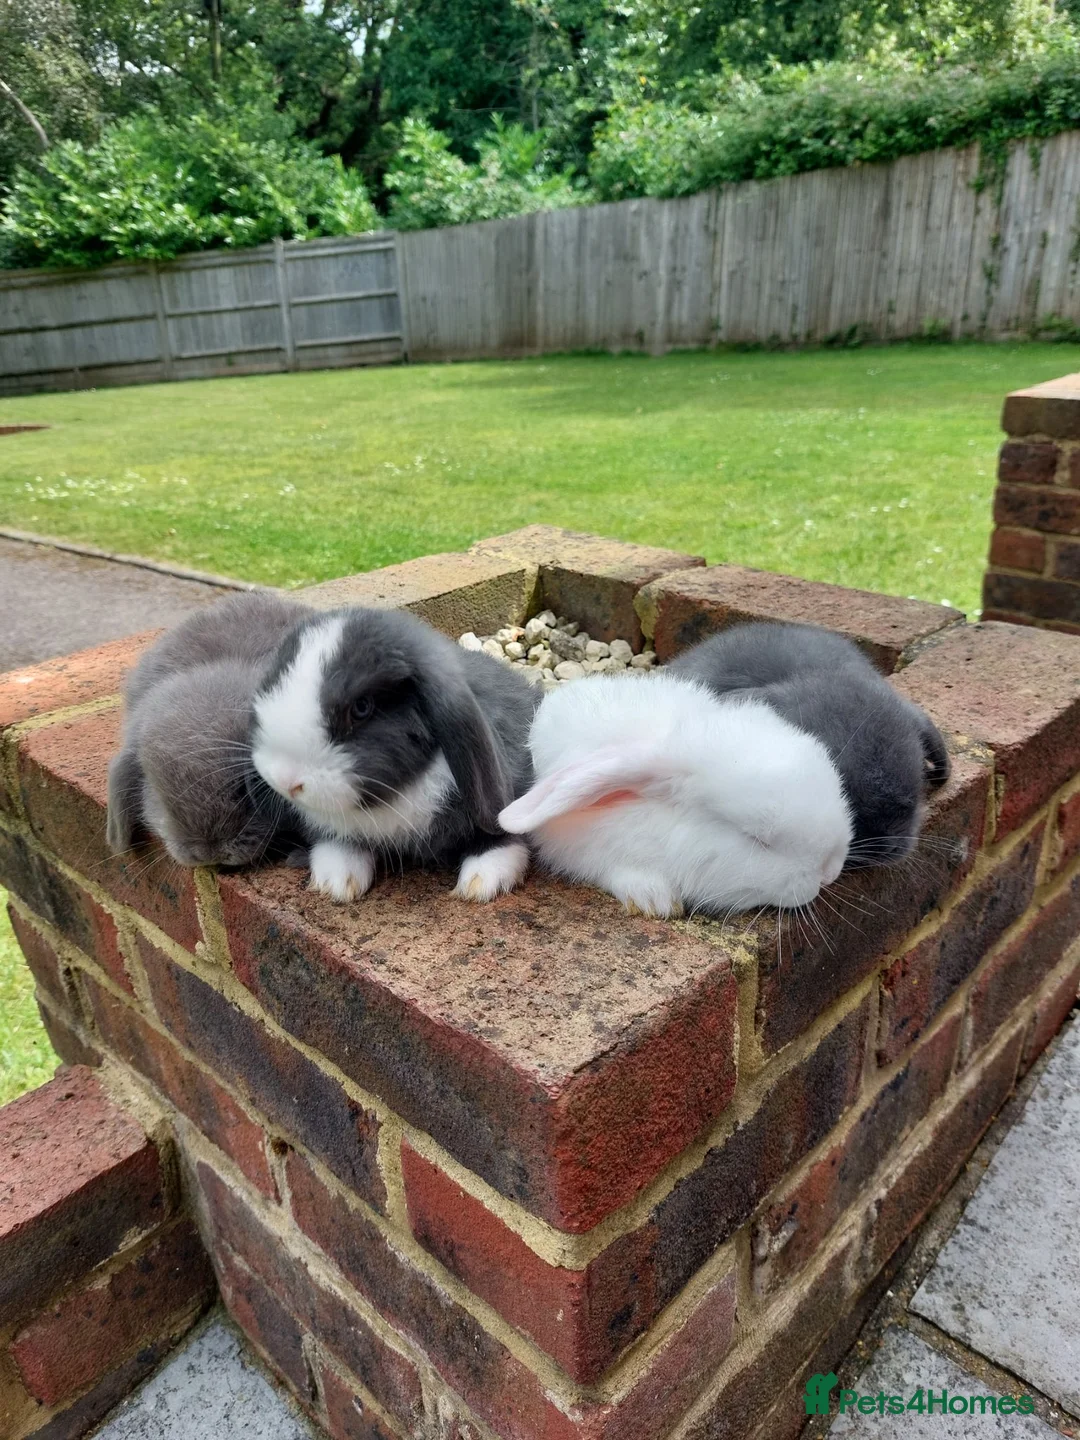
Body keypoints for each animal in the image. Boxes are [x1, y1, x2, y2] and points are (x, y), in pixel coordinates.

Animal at [250, 606, 541, 903]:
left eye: (362, 708)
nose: (284, 781)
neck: (394, 795)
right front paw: (336, 882)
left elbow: (501, 831)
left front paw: (482, 882)